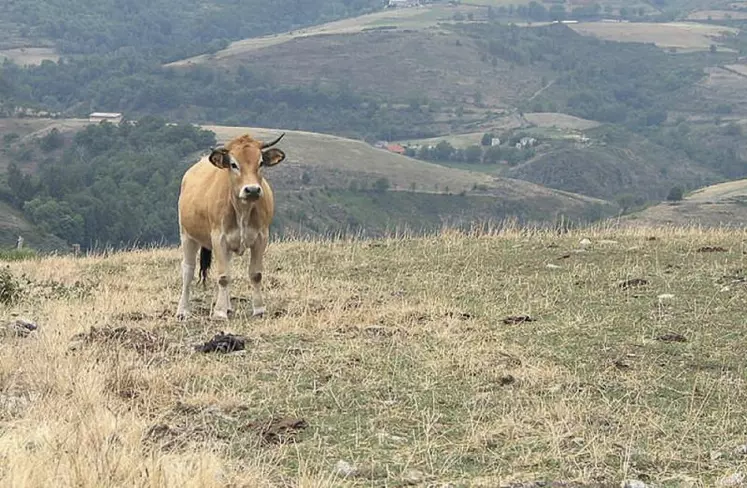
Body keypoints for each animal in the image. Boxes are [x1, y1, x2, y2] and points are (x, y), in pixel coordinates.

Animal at [175, 132, 286, 320]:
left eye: (260, 162)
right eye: (234, 164)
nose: (252, 190)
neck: (242, 210)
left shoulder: (261, 237)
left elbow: (255, 274)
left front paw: (259, 309)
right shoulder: (218, 238)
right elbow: (223, 276)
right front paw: (219, 312)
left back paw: (228, 306)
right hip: (187, 235)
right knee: (188, 270)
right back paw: (183, 310)